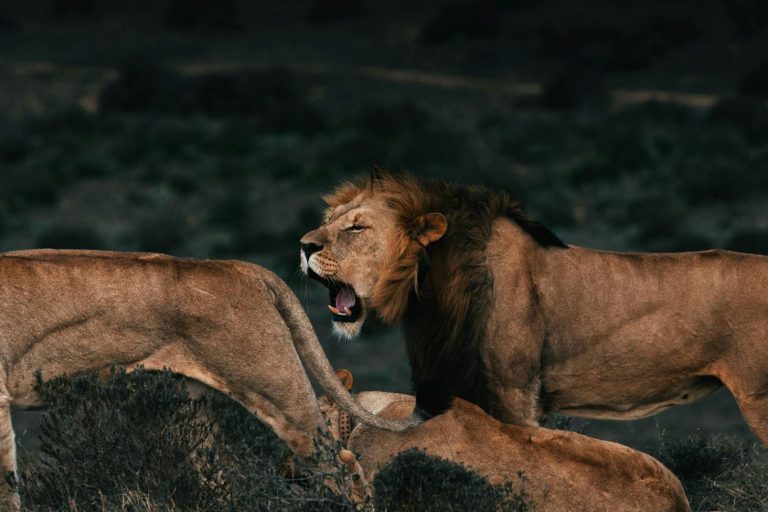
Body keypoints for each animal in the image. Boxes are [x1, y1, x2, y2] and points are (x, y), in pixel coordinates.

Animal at [0, 248, 414, 508]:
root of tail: (243, 268)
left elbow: (6, 488)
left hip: (278, 391)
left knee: (339, 463)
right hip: (194, 411)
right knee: (220, 477)